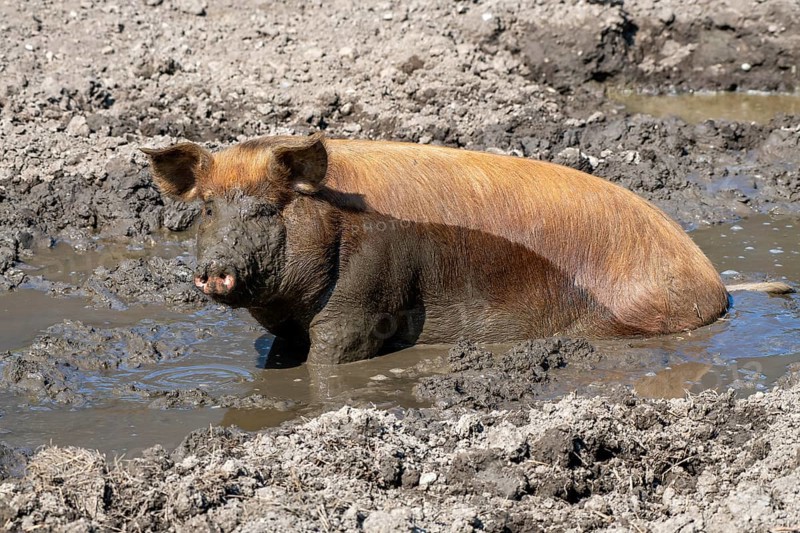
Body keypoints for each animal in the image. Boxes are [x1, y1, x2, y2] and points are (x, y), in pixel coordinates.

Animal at [141, 133, 743, 364]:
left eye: (268, 209)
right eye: (208, 209)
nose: (214, 270)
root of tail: (716, 287)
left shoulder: (366, 300)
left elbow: (335, 357)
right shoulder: (288, 329)